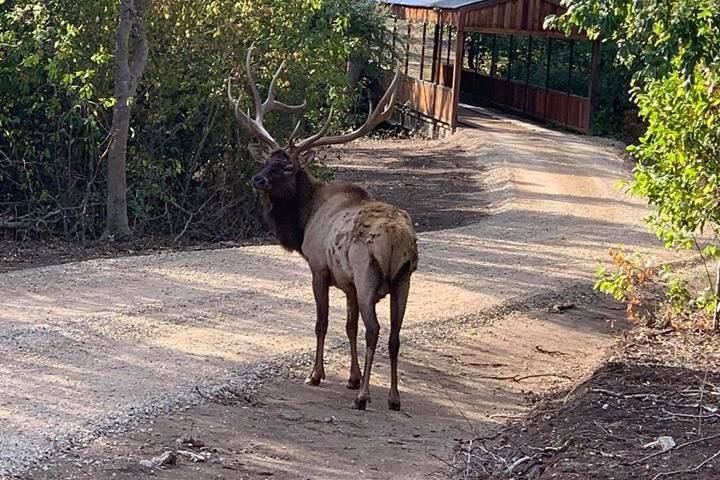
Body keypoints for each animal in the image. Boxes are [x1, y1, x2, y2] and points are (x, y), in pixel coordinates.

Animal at [228, 47, 420, 410]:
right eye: (266, 161)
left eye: (288, 166)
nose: (257, 179)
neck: (304, 222)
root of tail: (397, 239)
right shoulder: (348, 284)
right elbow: (348, 325)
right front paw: (351, 377)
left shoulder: (319, 267)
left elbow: (323, 323)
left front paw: (317, 375)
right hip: (403, 279)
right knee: (394, 334)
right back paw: (393, 397)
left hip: (367, 271)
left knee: (375, 328)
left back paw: (364, 397)